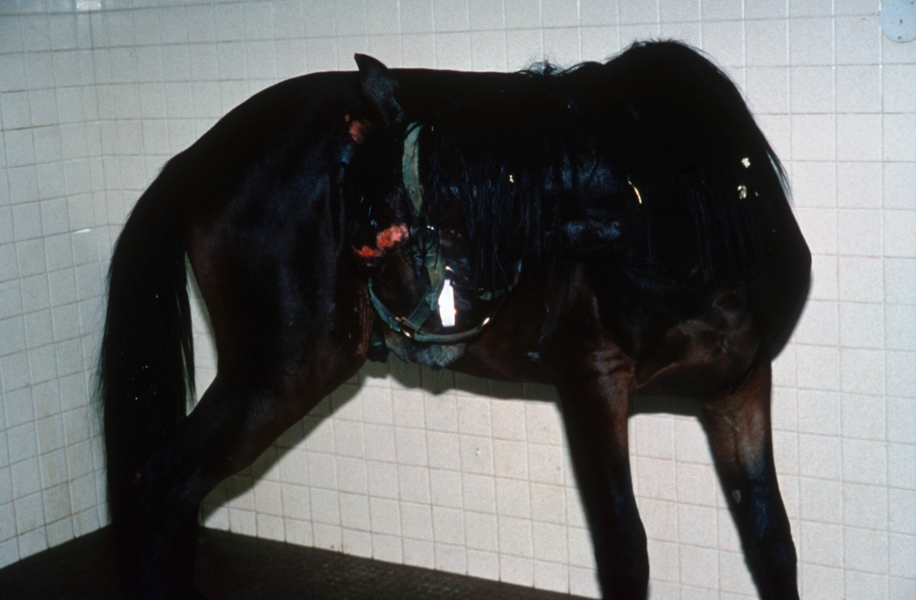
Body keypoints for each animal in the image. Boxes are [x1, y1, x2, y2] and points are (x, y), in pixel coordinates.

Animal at [100, 41, 811, 600]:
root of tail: (191, 159)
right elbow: (624, 550)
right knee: (162, 483)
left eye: (380, 230)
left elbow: (772, 541)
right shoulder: (593, 381)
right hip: (280, 373)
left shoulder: (739, 386)